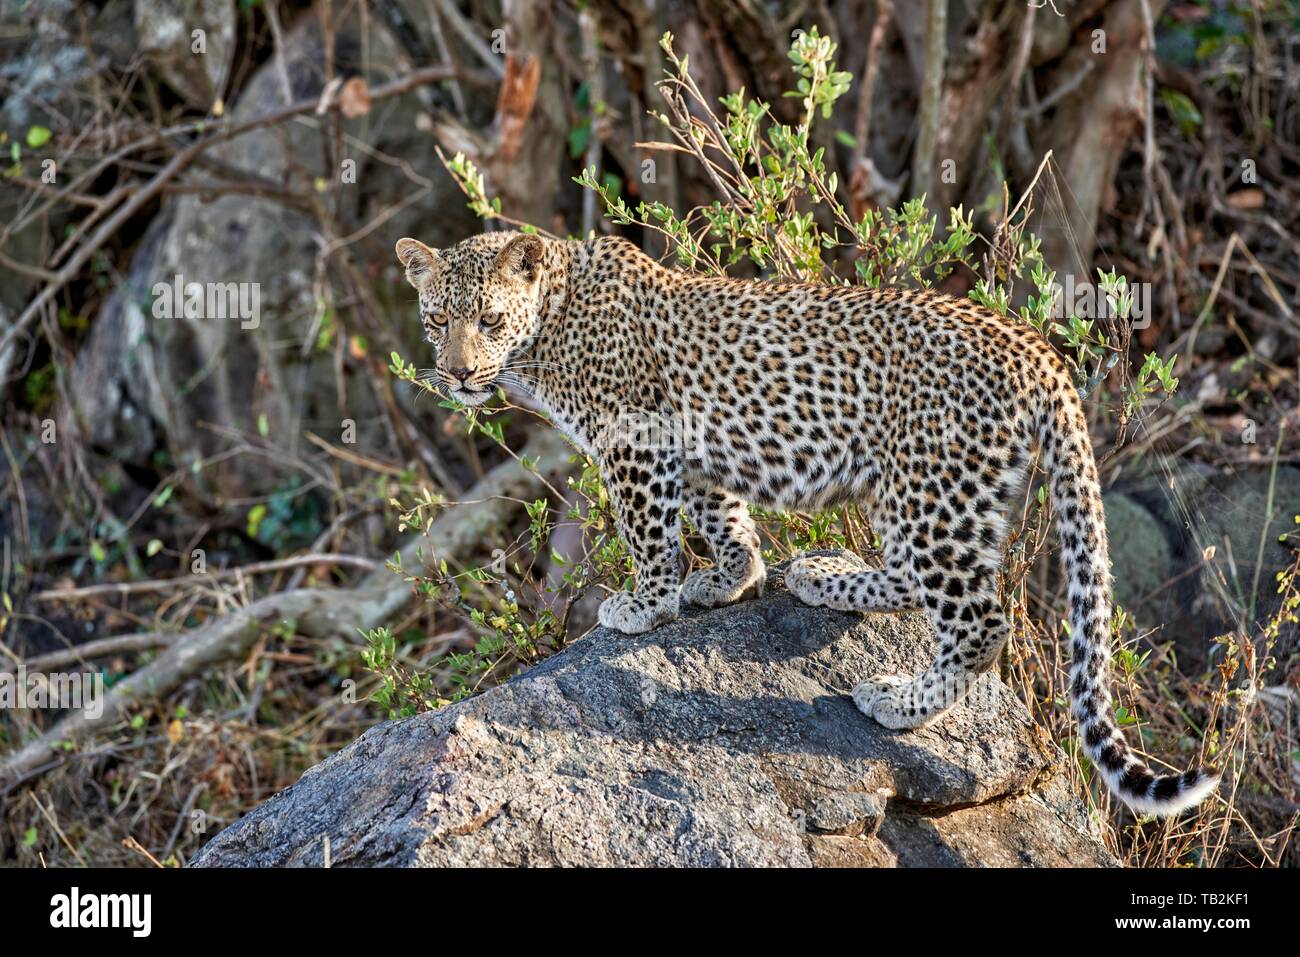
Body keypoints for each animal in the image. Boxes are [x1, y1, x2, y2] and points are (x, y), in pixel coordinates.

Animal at [392, 230, 1216, 816]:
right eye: (436, 320)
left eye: (489, 319)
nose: (457, 374)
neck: (548, 332)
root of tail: (1037, 347)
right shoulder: (692, 450)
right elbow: (721, 515)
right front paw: (730, 580)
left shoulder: (636, 441)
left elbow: (649, 532)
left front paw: (645, 604)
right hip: (914, 488)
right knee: (913, 579)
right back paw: (823, 577)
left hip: (934, 487)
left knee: (979, 618)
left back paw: (899, 702)